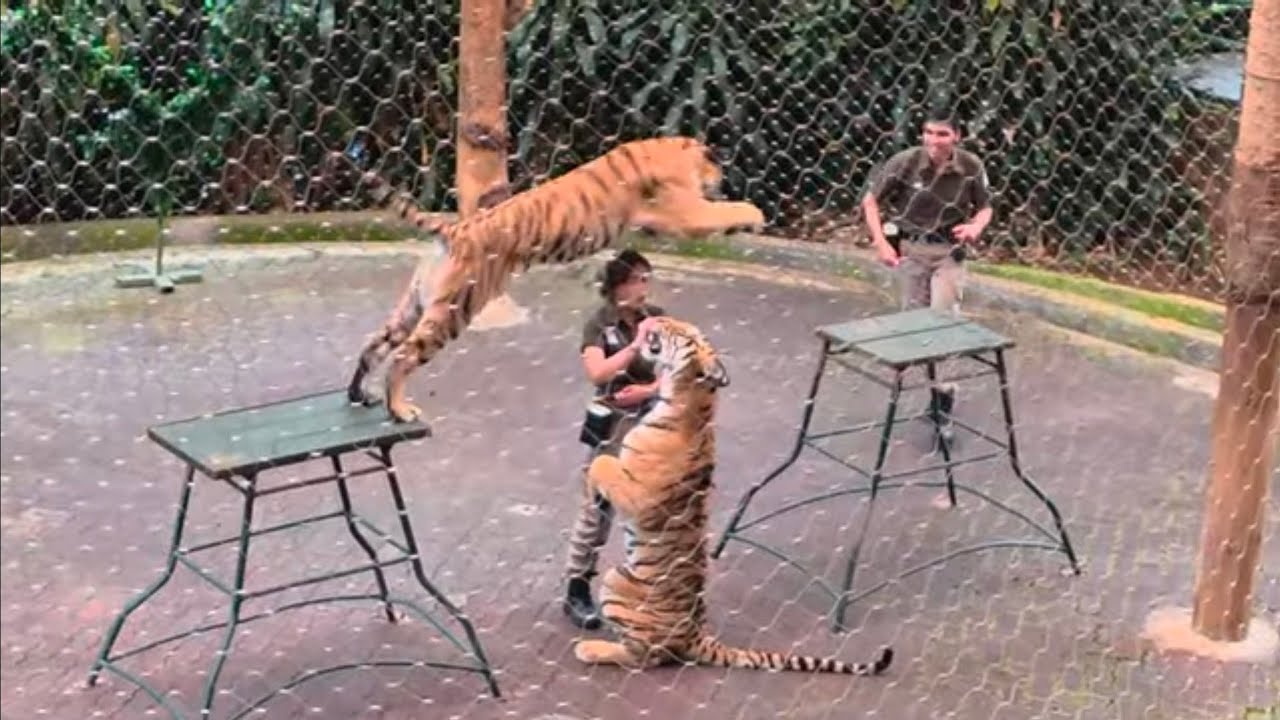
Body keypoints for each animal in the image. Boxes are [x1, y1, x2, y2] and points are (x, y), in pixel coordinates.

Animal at [346, 136, 767, 424]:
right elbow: (726, 211)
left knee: (373, 345)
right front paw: (754, 214)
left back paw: (359, 396)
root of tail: (456, 230)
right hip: (454, 309)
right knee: (403, 356)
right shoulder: (688, 211)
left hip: (416, 305)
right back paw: (399, 410)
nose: (721, 178)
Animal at [576, 315, 895, 676]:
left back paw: (591, 648)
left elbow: (603, 462)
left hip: (617, 581)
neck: (689, 399)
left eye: (685, 334)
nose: (654, 320)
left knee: (647, 656)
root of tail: (696, 635)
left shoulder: (637, 492)